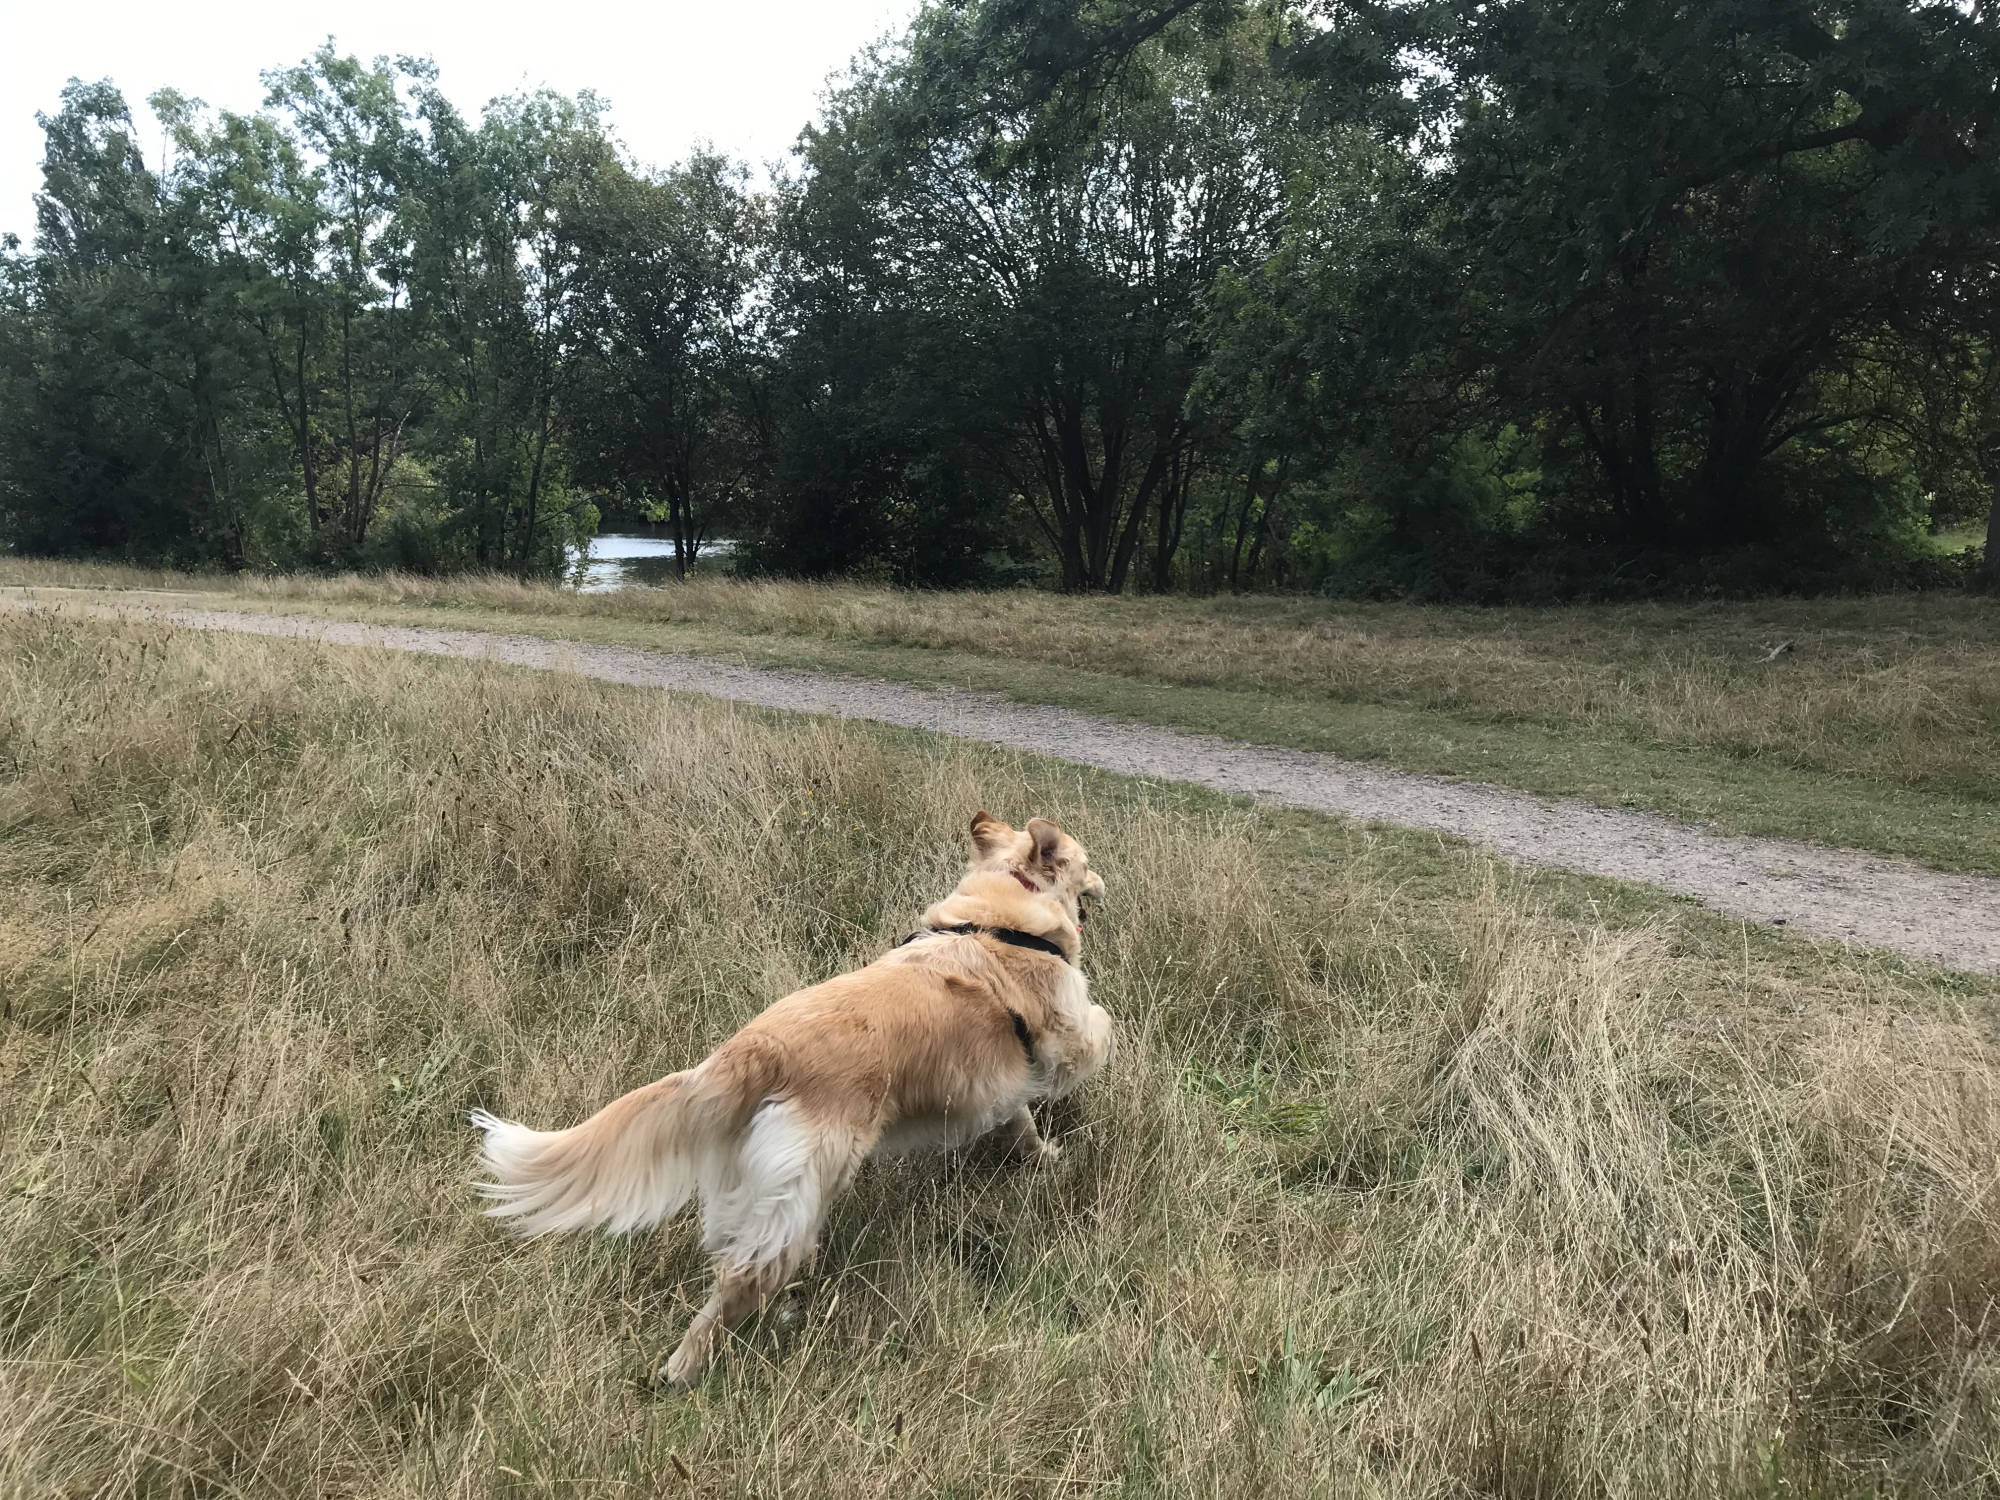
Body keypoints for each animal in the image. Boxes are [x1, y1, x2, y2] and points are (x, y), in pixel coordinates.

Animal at [474, 816, 1120, 1392]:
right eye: (1085, 862)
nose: (1105, 883)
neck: (998, 915)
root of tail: (756, 1046)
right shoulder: (1063, 1034)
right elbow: (1099, 1026)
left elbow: (1020, 1119)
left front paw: (1041, 1154)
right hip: (806, 1181)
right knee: (740, 1280)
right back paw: (686, 1367)